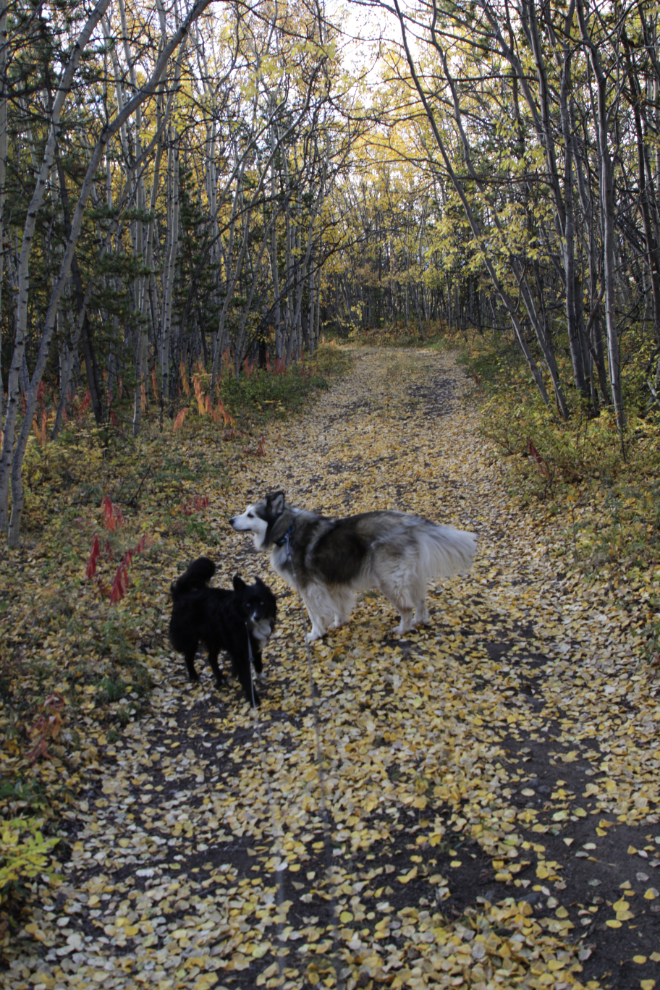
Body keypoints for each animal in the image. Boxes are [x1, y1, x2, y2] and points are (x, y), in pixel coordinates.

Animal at [170, 560, 276, 704]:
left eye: (262, 602)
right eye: (248, 604)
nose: (257, 617)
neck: (247, 622)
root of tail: (181, 595)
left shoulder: (254, 645)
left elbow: (258, 662)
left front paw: (260, 676)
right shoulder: (240, 653)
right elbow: (246, 678)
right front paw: (254, 701)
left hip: (214, 639)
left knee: (211, 658)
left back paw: (220, 679)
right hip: (191, 640)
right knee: (188, 658)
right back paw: (194, 676)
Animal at [229, 494, 476, 648]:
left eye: (251, 515)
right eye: (245, 512)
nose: (230, 520)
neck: (286, 531)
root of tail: (408, 522)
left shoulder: (309, 588)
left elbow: (314, 614)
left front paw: (316, 634)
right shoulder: (332, 583)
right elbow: (338, 606)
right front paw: (339, 623)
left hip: (389, 581)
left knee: (406, 608)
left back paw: (402, 630)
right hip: (411, 576)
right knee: (421, 603)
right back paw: (419, 621)